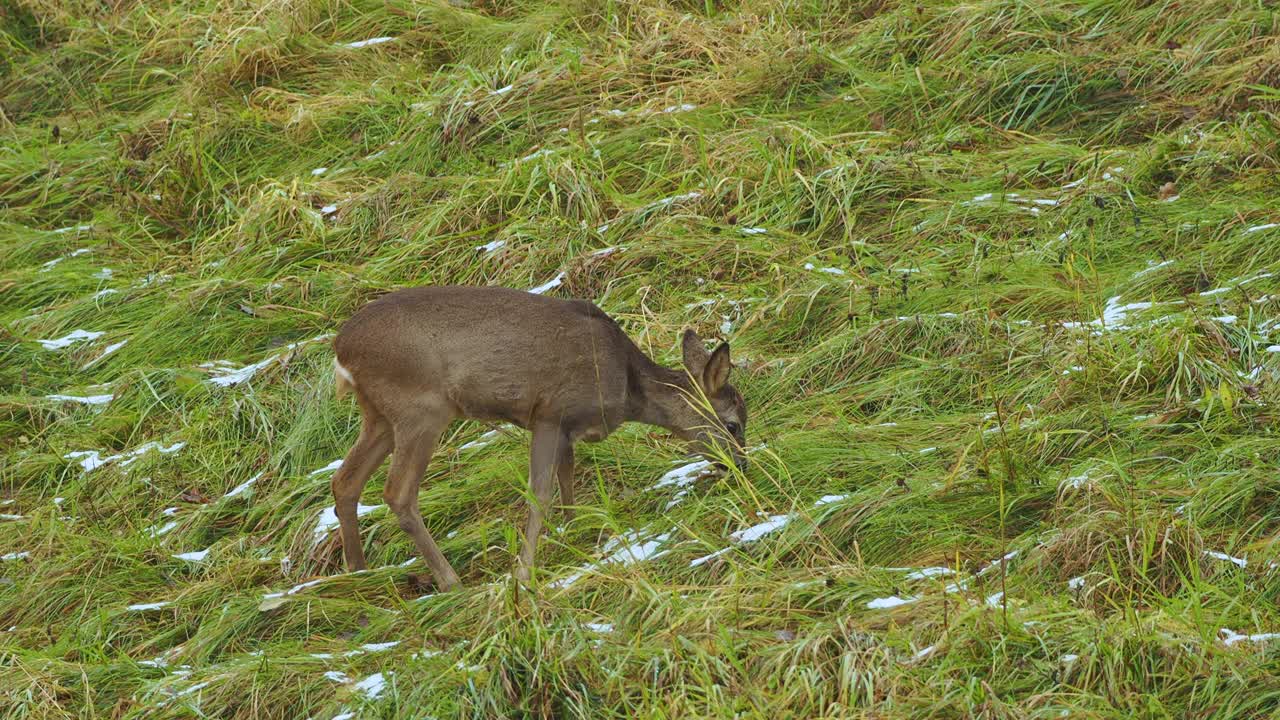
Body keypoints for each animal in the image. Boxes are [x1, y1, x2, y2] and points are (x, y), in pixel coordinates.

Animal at [330, 283, 747, 586]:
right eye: (733, 424)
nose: (740, 466)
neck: (627, 385)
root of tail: (341, 351)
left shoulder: (568, 427)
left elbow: (567, 480)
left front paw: (574, 533)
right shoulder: (550, 414)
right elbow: (539, 494)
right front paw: (524, 572)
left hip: (379, 415)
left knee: (345, 481)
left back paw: (358, 570)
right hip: (421, 407)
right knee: (397, 493)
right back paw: (449, 580)